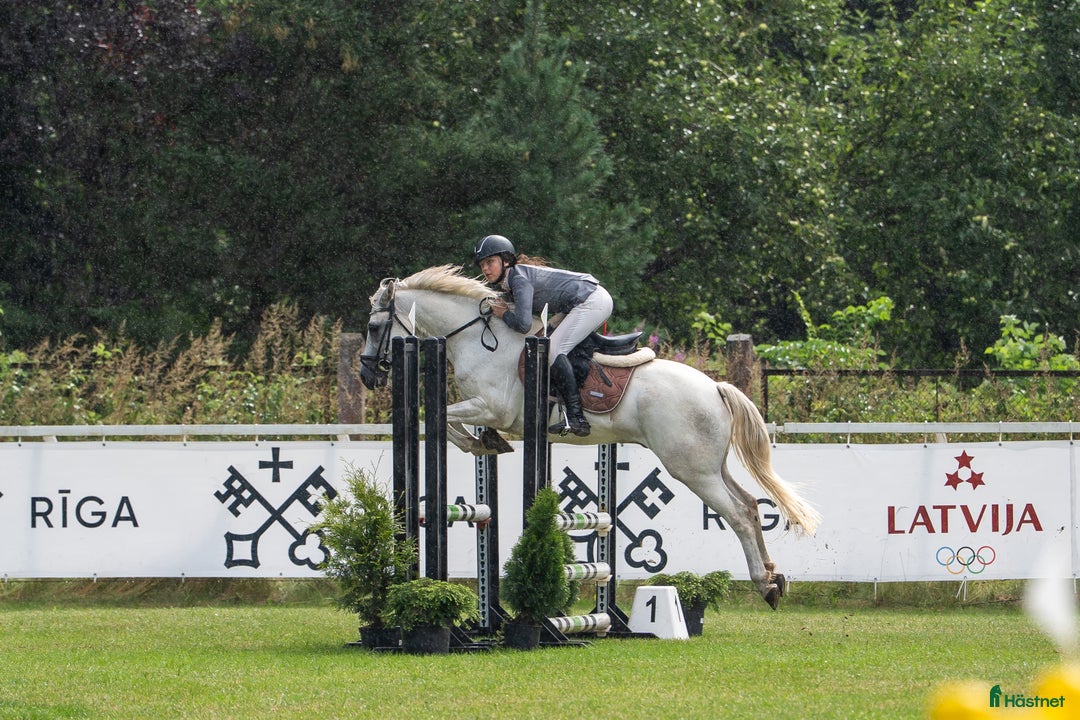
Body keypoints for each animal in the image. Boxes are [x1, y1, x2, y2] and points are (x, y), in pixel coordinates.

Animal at [358, 265, 820, 609]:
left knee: (738, 514)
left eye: (374, 326)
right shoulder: (489, 410)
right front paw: (487, 443)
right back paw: (774, 579)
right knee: (750, 505)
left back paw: (764, 585)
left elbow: (438, 419)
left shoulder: (492, 407)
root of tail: (715, 387)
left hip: (692, 469)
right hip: (710, 464)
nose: (366, 376)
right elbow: (447, 422)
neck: (477, 337)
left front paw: (479, 442)